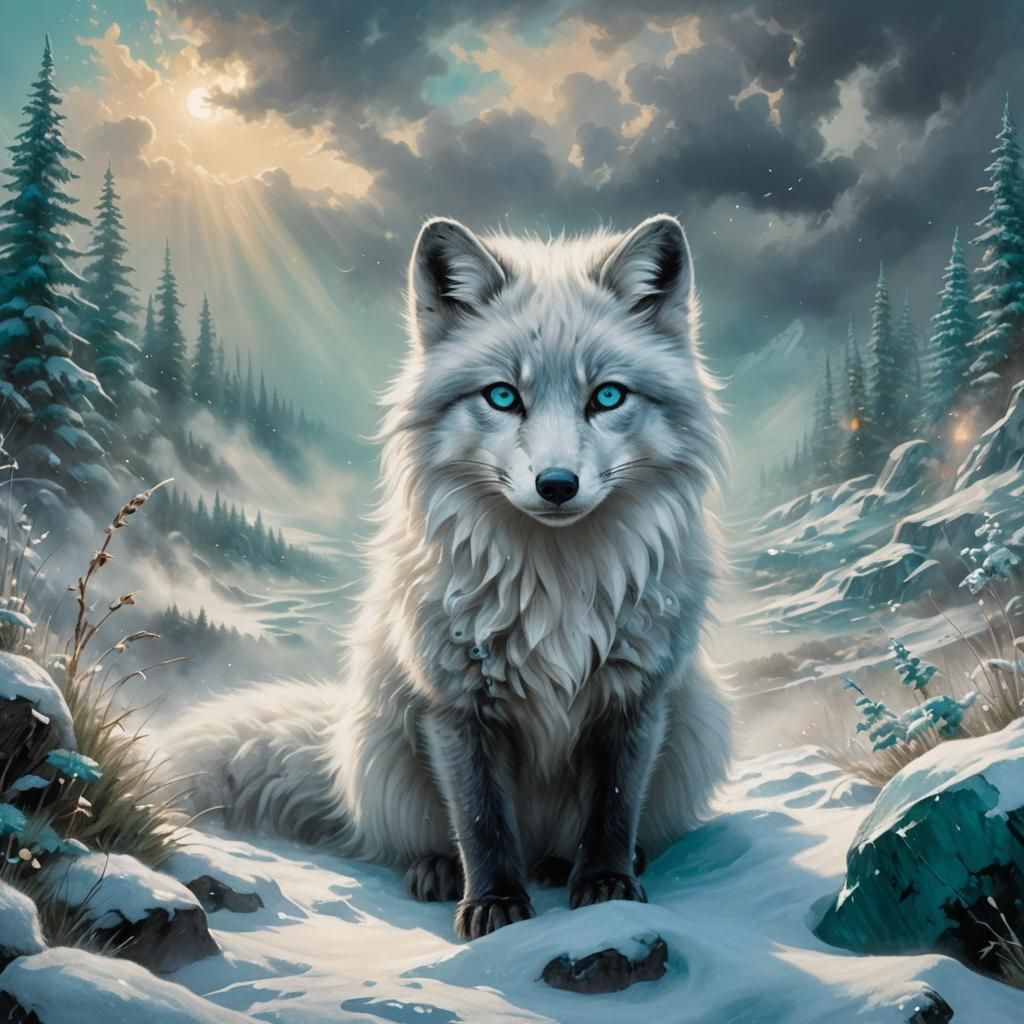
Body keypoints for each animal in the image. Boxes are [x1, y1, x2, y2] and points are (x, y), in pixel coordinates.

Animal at [168, 213, 731, 940]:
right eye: (503, 396)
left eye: (607, 397)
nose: (556, 485)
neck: (556, 588)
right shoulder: (455, 704)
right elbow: (481, 821)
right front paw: (493, 904)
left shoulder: (637, 697)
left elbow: (613, 806)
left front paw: (606, 886)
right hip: (381, 740)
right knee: (423, 838)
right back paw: (437, 870)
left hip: (699, 725)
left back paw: (579, 865)